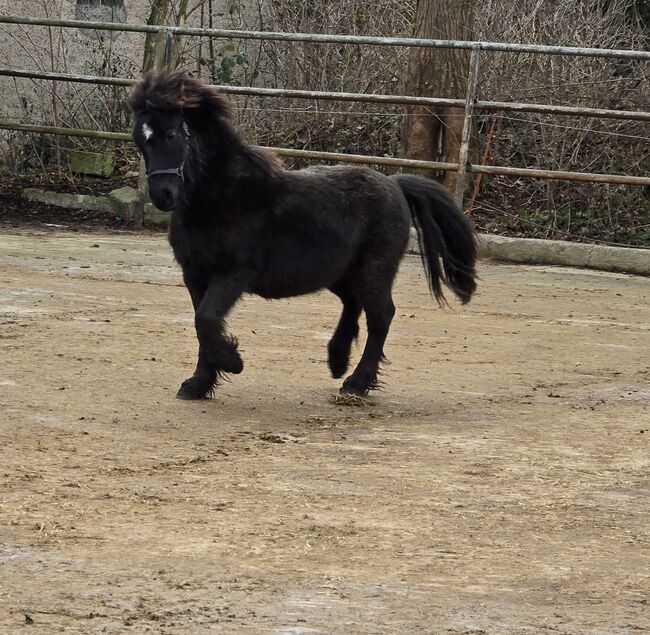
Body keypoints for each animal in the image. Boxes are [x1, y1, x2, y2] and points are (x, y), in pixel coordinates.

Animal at [130, 74, 476, 400]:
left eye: (171, 134)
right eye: (139, 140)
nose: (163, 195)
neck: (223, 196)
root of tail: (395, 183)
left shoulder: (232, 274)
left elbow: (206, 320)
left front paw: (232, 362)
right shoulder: (194, 274)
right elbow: (202, 325)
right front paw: (198, 383)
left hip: (373, 271)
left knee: (381, 317)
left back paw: (356, 382)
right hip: (338, 273)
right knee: (353, 304)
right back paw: (337, 360)